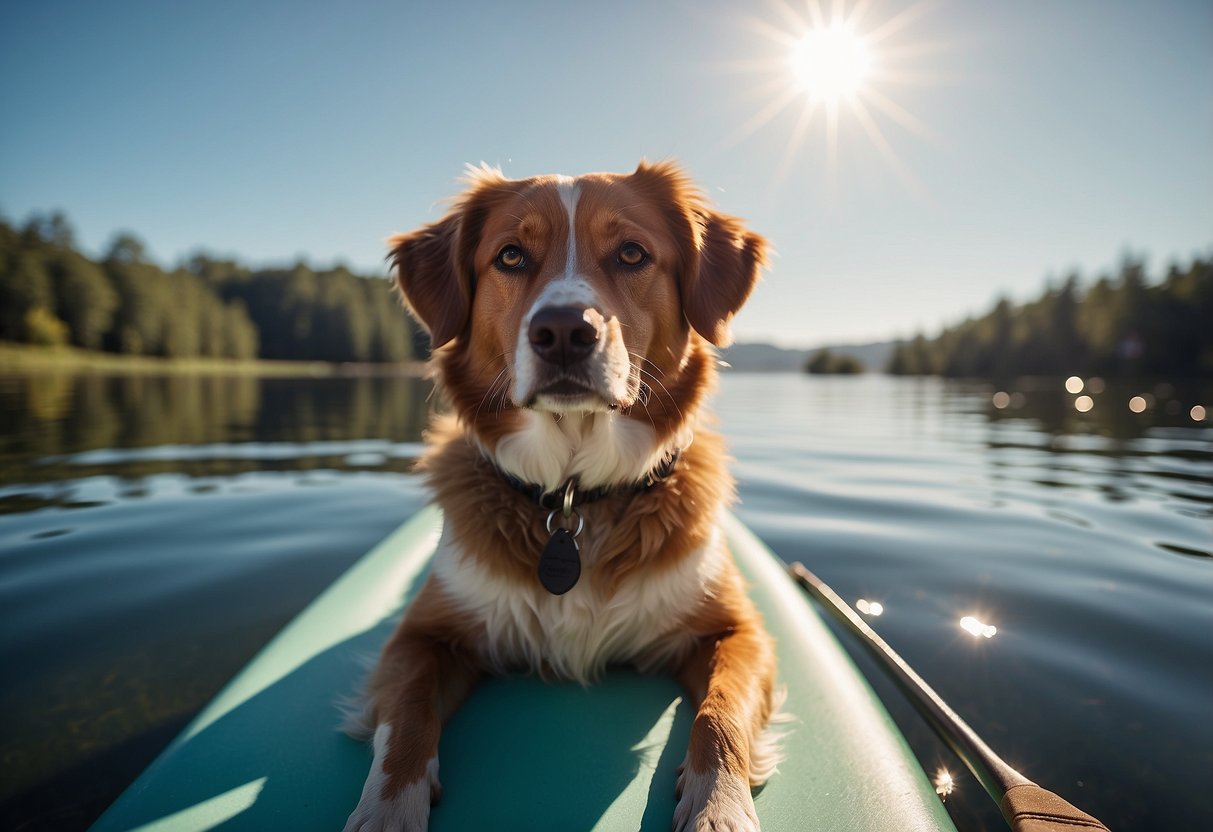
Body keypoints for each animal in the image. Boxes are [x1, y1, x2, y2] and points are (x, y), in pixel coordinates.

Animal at [344, 162, 776, 832]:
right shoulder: (422, 635)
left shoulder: (737, 630)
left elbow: (720, 713)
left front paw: (718, 807)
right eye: (511, 256)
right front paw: (387, 812)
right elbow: (409, 715)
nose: (566, 331)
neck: (575, 499)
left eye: (632, 253)